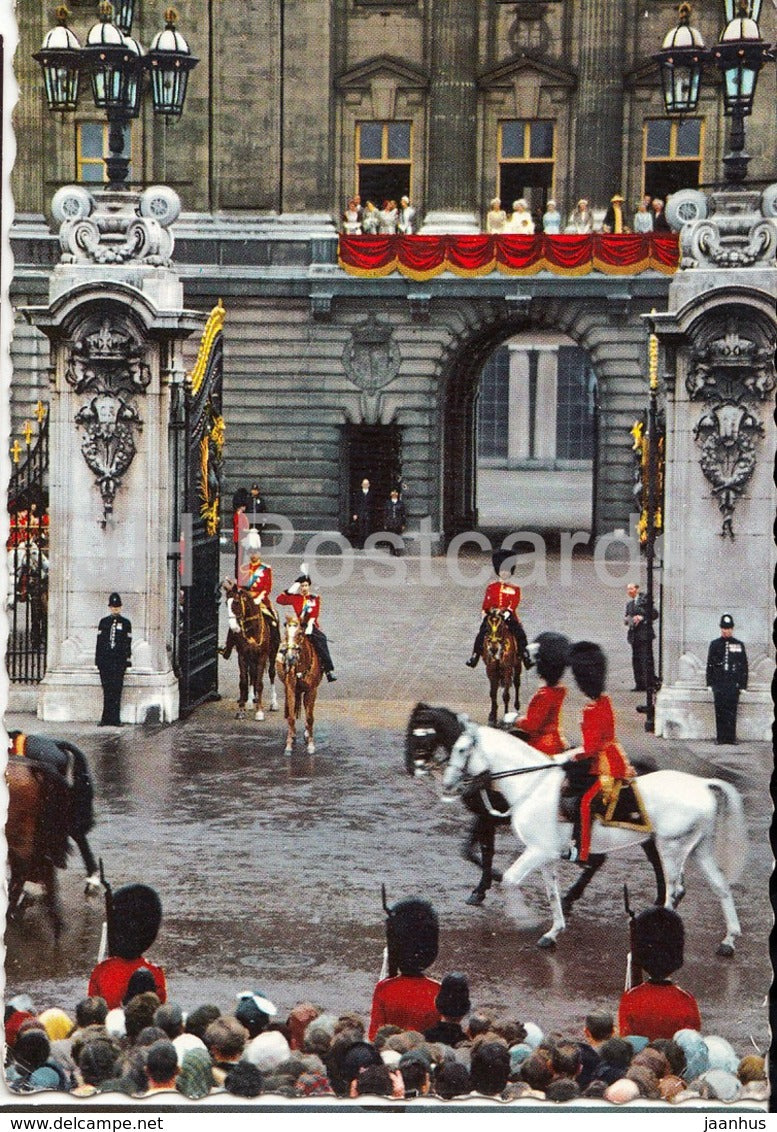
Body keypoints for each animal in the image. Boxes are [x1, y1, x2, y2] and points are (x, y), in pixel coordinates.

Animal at [220, 584, 278, 715]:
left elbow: (260, 684)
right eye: (226, 603)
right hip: (251, 658)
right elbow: (243, 682)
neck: (252, 629)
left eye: (236, 602)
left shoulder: (262, 656)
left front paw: (259, 712)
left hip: (272, 653)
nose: (234, 628)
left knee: (271, 673)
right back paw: (251, 701)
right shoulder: (242, 655)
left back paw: (273, 703)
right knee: (252, 674)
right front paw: (241, 709)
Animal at [277, 615, 321, 756]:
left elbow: (310, 718)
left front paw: (311, 745)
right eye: (286, 633)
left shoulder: (312, 690)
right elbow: (291, 717)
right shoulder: (291, 688)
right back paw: (292, 734)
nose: (290, 657)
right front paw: (289, 745)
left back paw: (306, 734)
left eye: (300, 633)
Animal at [434, 710, 747, 950]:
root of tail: (703, 784)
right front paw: (552, 931)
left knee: (675, 890)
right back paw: (729, 939)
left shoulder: (537, 850)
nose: (447, 783)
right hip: (698, 849)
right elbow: (551, 893)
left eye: (461, 749)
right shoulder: (545, 853)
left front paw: (524, 918)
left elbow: (510, 880)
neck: (531, 784)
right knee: (719, 886)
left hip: (671, 847)